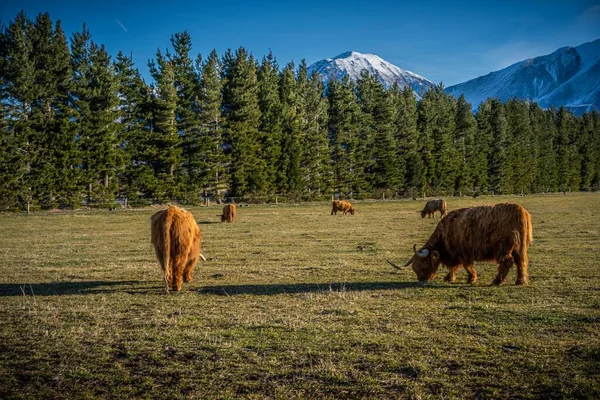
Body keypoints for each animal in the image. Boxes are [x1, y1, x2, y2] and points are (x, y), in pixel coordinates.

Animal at [390, 203, 536, 284]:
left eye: (423, 263)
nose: (421, 279)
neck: (444, 232)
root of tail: (520, 210)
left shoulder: (463, 253)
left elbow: (466, 266)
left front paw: (471, 278)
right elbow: (455, 267)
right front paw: (449, 277)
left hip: (504, 247)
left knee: (507, 262)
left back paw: (497, 281)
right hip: (520, 248)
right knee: (521, 263)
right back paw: (520, 281)